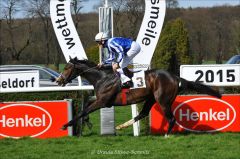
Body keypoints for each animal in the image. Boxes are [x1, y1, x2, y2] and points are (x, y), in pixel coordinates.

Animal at [56, 57, 221, 136]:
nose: (58, 81)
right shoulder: (102, 100)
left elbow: (84, 111)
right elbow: (85, 107)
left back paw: (166, 136)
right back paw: (122, 126)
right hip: (151, 98)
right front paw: (85, 123)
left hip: (163, 100)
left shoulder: (103, 101)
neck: (102, 77)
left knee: (171, 119)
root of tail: (175, 77)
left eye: (67, 67)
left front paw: (65, 125)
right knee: (143, 113)